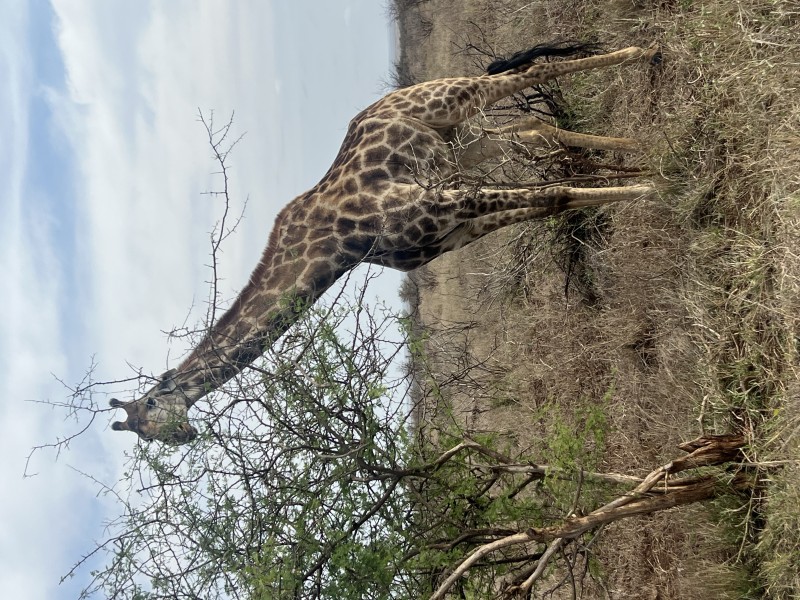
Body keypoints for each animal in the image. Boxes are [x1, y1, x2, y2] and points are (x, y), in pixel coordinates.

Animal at [110, 44, 661, 444]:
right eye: (148, 437)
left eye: (153, 408)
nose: (185, 436)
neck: (339, 247)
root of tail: (388, 100)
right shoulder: (453, 227)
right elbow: (547, 201)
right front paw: (637, 181)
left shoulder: (448, 202)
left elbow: (555, 193)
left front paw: (650, 191)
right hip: (461, 144)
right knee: (535, 127)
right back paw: (639, 150)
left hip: (457, 100)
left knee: (537, 71)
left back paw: (645, 55)